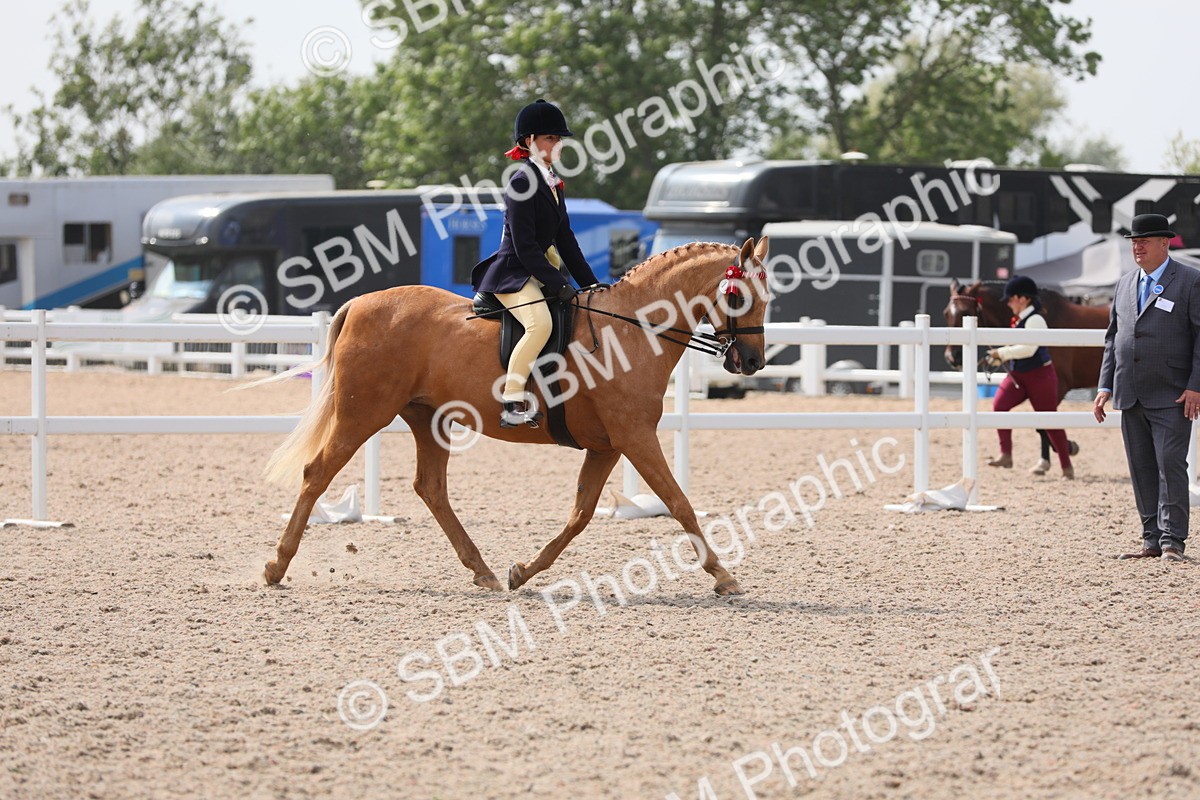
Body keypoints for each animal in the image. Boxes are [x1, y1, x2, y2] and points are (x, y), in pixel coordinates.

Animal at [257, 238, 771, 596]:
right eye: (738, 297)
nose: (751, 362)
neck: (632, 330)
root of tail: (361, 303)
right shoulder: (636, 437)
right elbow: (679, 503)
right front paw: (724, 576)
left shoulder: (608, 445)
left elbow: (580, 515)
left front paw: (522, 572)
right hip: (363, 413)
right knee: (318, 473)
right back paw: (277, 566)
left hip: (428, 418)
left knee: (431, 488)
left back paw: (482, 571)